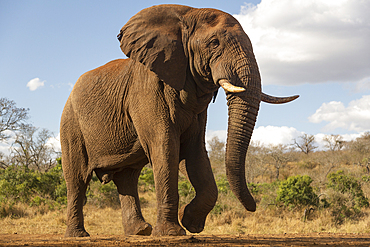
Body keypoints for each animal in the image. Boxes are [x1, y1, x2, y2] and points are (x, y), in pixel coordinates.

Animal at [60, 4, 298, 237]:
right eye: (214, 43)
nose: (254, 206)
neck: (187, 13)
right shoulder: (147, 91)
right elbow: (166, 149)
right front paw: (172, 233)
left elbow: (194, 151)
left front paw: (191, 223)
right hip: (71, 125)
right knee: (77, 179)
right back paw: (78, 235)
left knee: (127, 177)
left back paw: (140, 231)